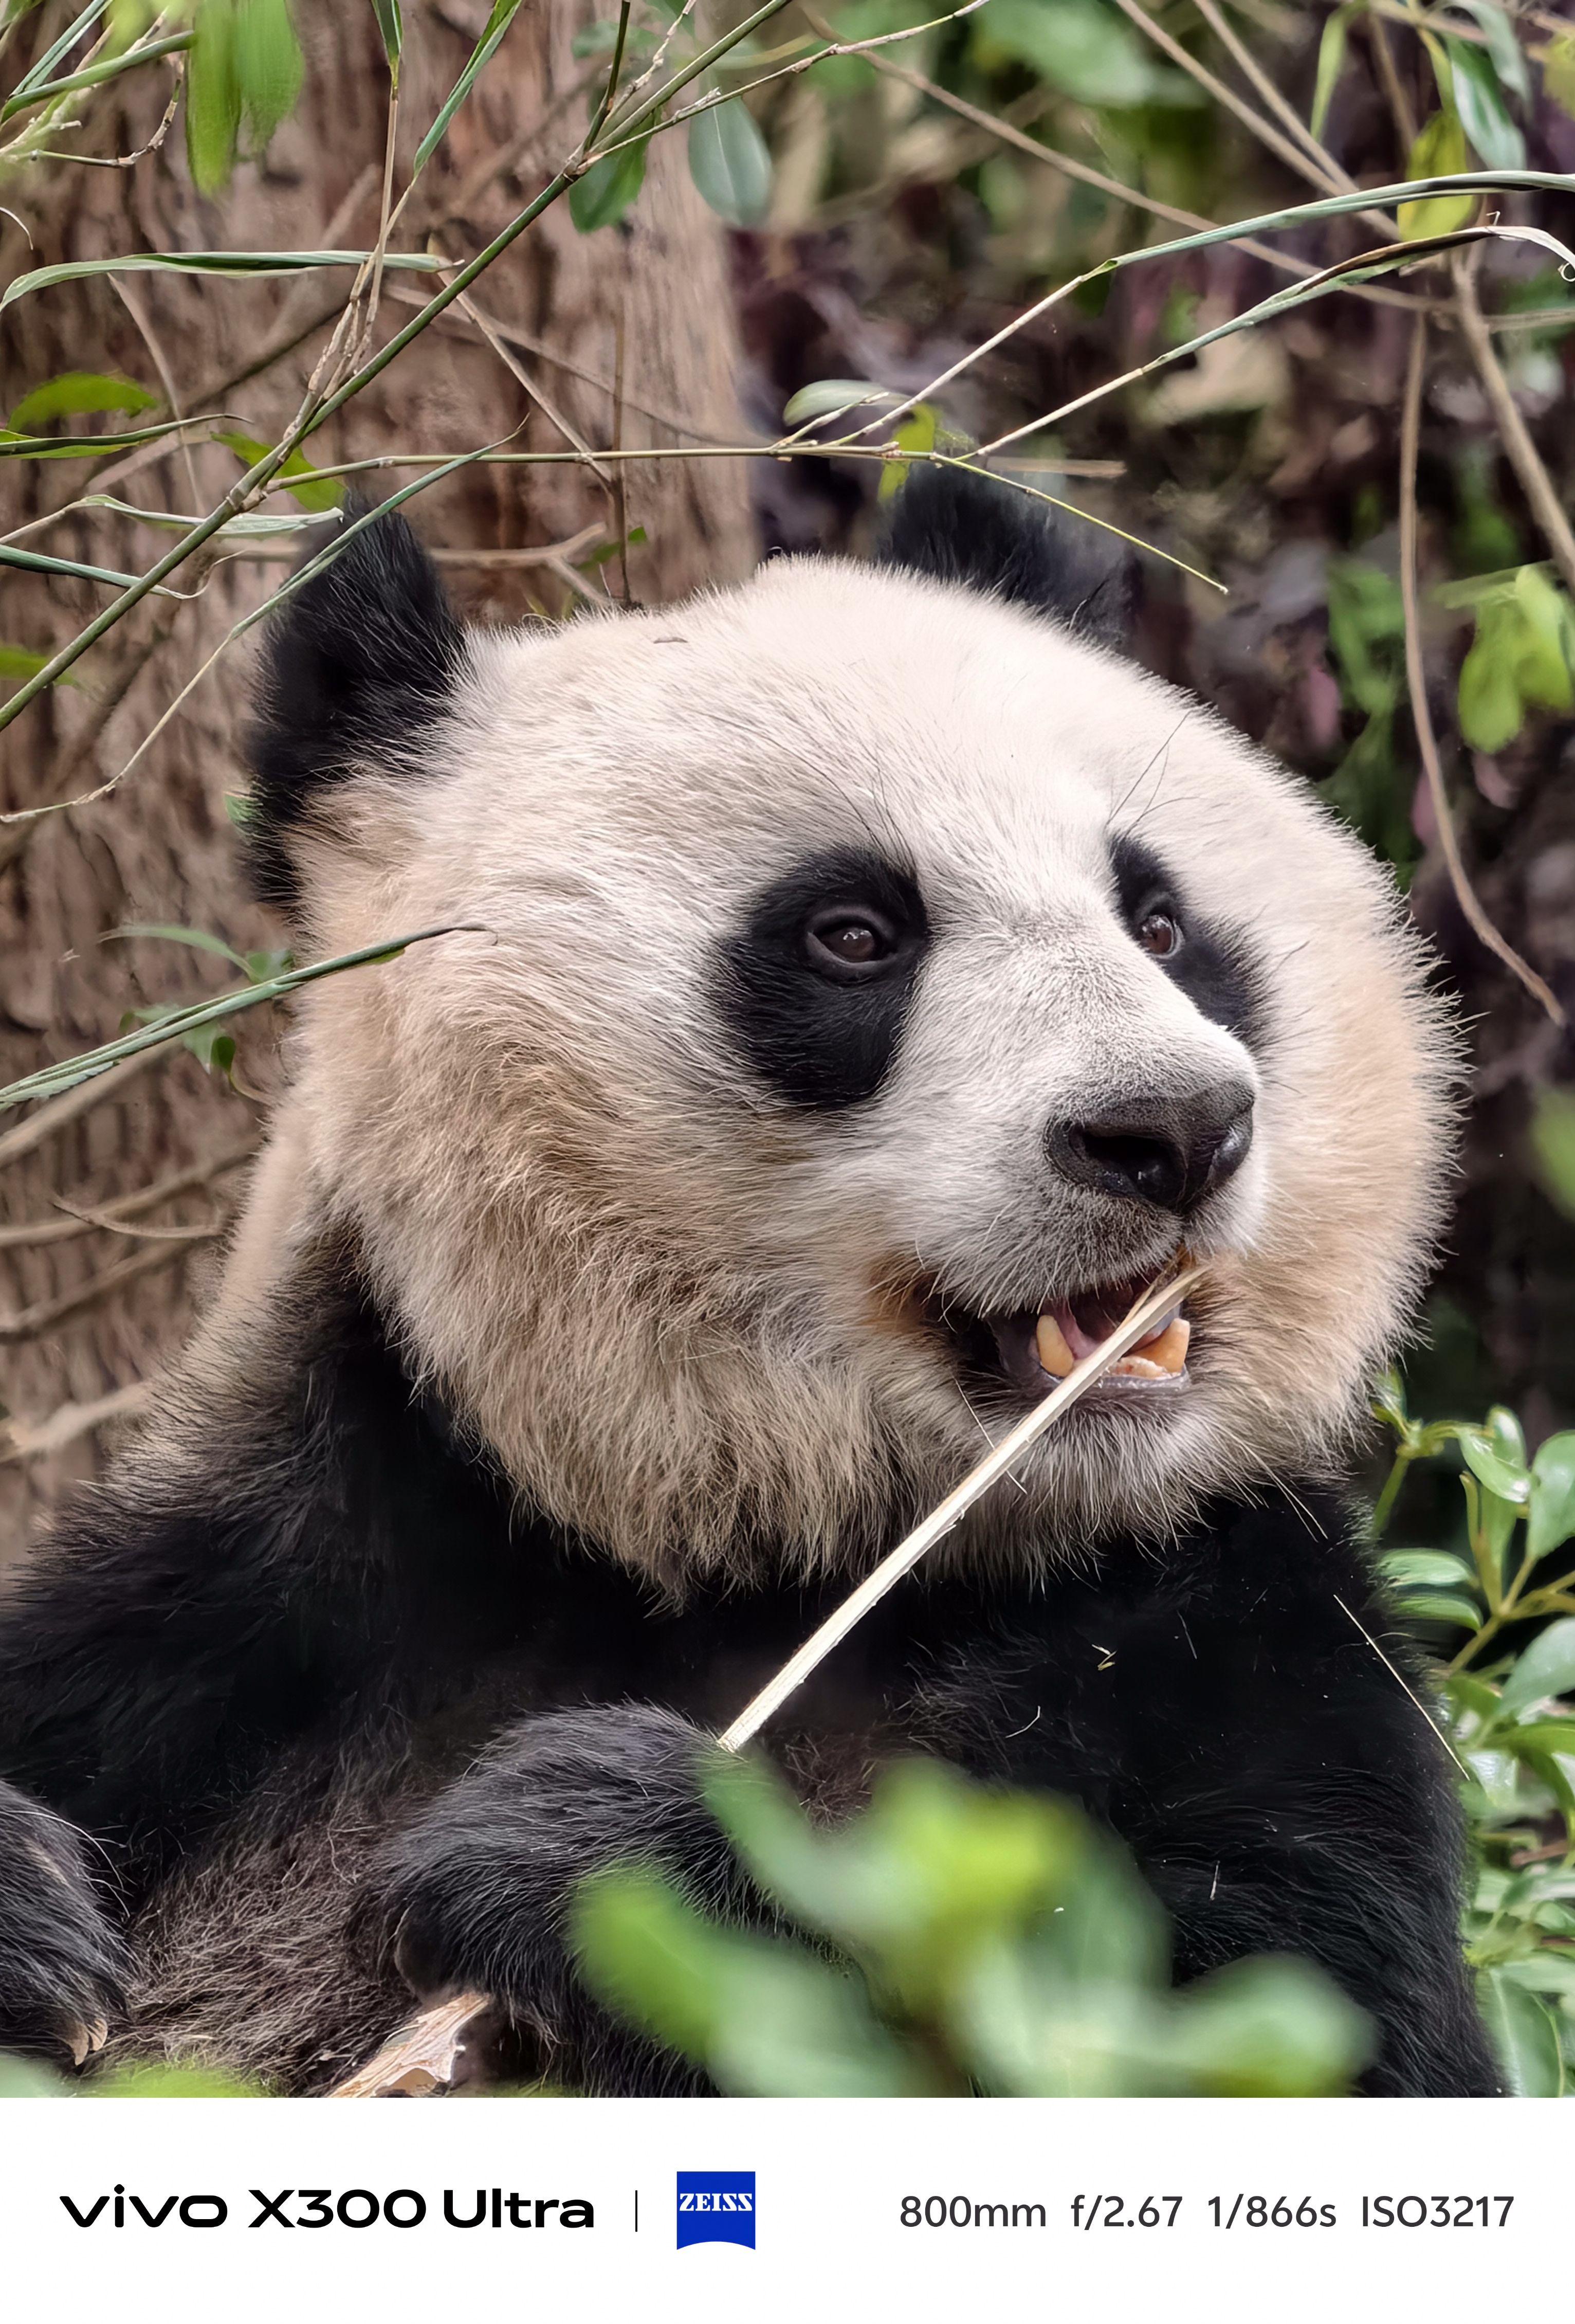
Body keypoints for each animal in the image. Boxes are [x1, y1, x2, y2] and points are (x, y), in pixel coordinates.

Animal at [0, 469, 1497, 2098]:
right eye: (853, 933)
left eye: (1161, 921)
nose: (1172, 1131)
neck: (770, 1549)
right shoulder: (254, 1613)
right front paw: (30, 1917)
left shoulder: (1247, 1638)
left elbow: (1255, 2020)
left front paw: (596, 1855)